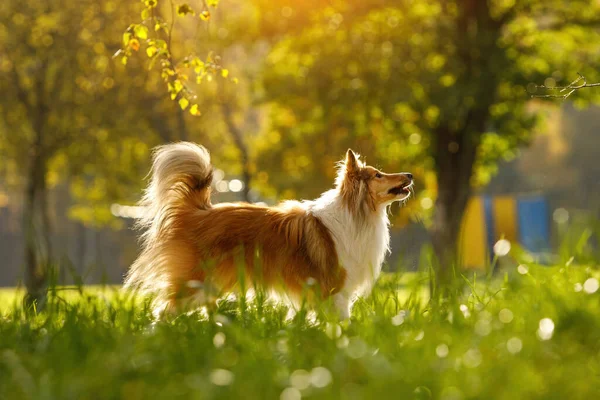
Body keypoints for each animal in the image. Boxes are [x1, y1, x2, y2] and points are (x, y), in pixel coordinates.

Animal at [125, 141, 414, 318]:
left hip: (212, 285)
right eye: (378, 175)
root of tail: (198, 210)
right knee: (163, 313)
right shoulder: (336, 292)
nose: (410, 175)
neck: (356, 213)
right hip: (195, 283)